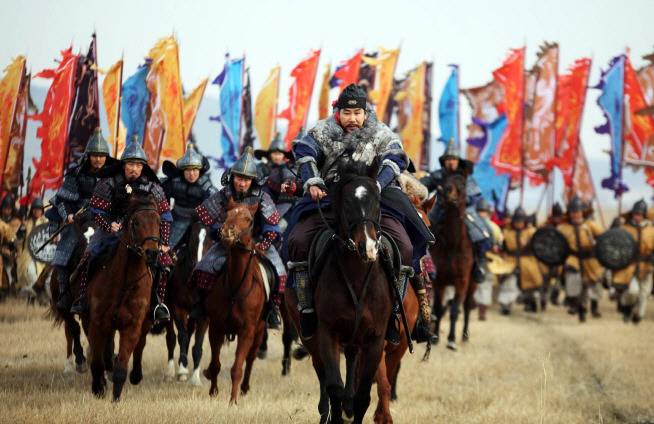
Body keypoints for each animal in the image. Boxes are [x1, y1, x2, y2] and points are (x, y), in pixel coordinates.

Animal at [81, 193, 163, 400]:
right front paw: (98, 389)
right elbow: (97, 362)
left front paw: (115, 398)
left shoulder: (132, 326)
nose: (152, 253)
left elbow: (121, 368)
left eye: (158, 221)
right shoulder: (97, 324)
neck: (124, 282)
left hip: (145, 323)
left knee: (139, 347)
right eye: (135, 222)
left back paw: (135, 375)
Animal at [204, 199, 268, 404]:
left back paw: (245, 388)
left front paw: (233, 401)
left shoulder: (247, 331)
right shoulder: (215, 327)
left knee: (250, 359)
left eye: (248, 219)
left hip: (259, 331)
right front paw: (213, 392)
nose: (227, 232)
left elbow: (237, 368)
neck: (236, 286)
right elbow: (215, 364)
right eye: (227, 214)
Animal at [288, 161, 394, 424]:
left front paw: (350, 410)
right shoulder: (328, 334)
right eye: (347, 204)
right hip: (312, 337)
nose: (368, 247)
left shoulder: (375, 339)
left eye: (377, 201)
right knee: (323, 375)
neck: (356, 277)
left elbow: (363, 396)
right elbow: (333, 387)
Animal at [430, 172, 476, 352]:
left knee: (467, 306)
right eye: (444, 181)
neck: (452, 244)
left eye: (462, 183)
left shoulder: (461, 282)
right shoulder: (439, 282)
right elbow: (437, 308)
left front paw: (451, 340)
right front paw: (435, 337)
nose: (447, 192)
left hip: (472, 284)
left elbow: (455, 310)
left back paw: (464, 335)